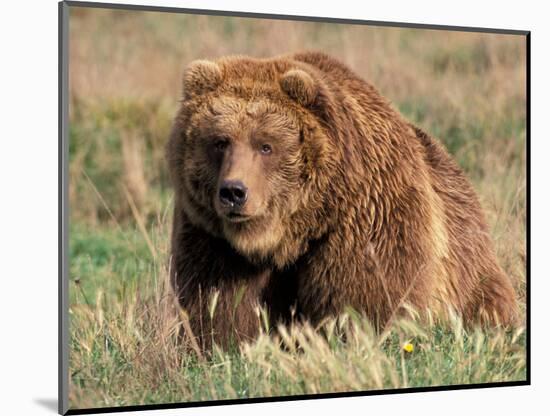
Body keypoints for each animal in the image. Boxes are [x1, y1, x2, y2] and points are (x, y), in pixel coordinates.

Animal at [166, 51, 520, 352]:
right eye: (220, 141)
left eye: (265, 145)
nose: (234, 192)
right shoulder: (213, 239)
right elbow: (222, 305)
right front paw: (223, 345)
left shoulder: (366, 217)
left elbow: (369, 298)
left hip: (468, 262)